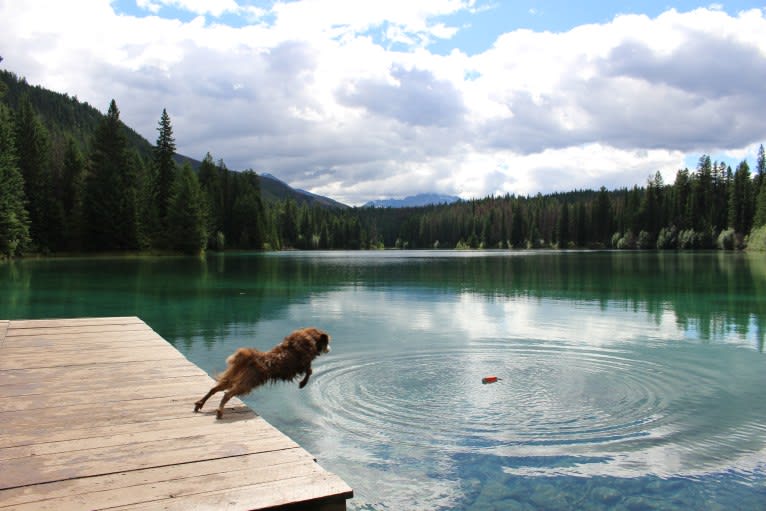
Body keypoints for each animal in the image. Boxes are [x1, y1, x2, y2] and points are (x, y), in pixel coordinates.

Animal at [195, 328, 330, 420]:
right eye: (327, 342)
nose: (329, 349)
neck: (310, 337)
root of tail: (251, 359)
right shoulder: (304, 363)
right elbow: (309, 371)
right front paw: (302, 383)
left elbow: (309, 371)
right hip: (247, 382)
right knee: (227, 394)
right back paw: (219, 410)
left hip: (235, 377)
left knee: (215, 389)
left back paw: (200, 404)